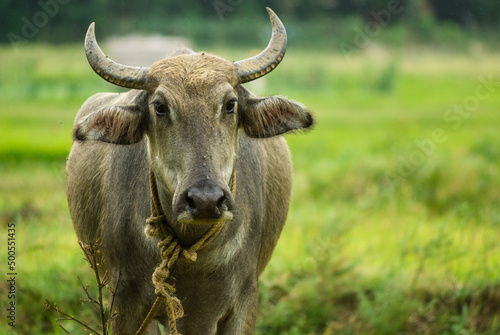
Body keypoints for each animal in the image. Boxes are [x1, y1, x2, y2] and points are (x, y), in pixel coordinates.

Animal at [67, 7, 312, 335]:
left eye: (230, 104)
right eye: (159, 106)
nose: (206, 200)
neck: (195, 257)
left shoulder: (244, 302)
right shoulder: (123, 301)